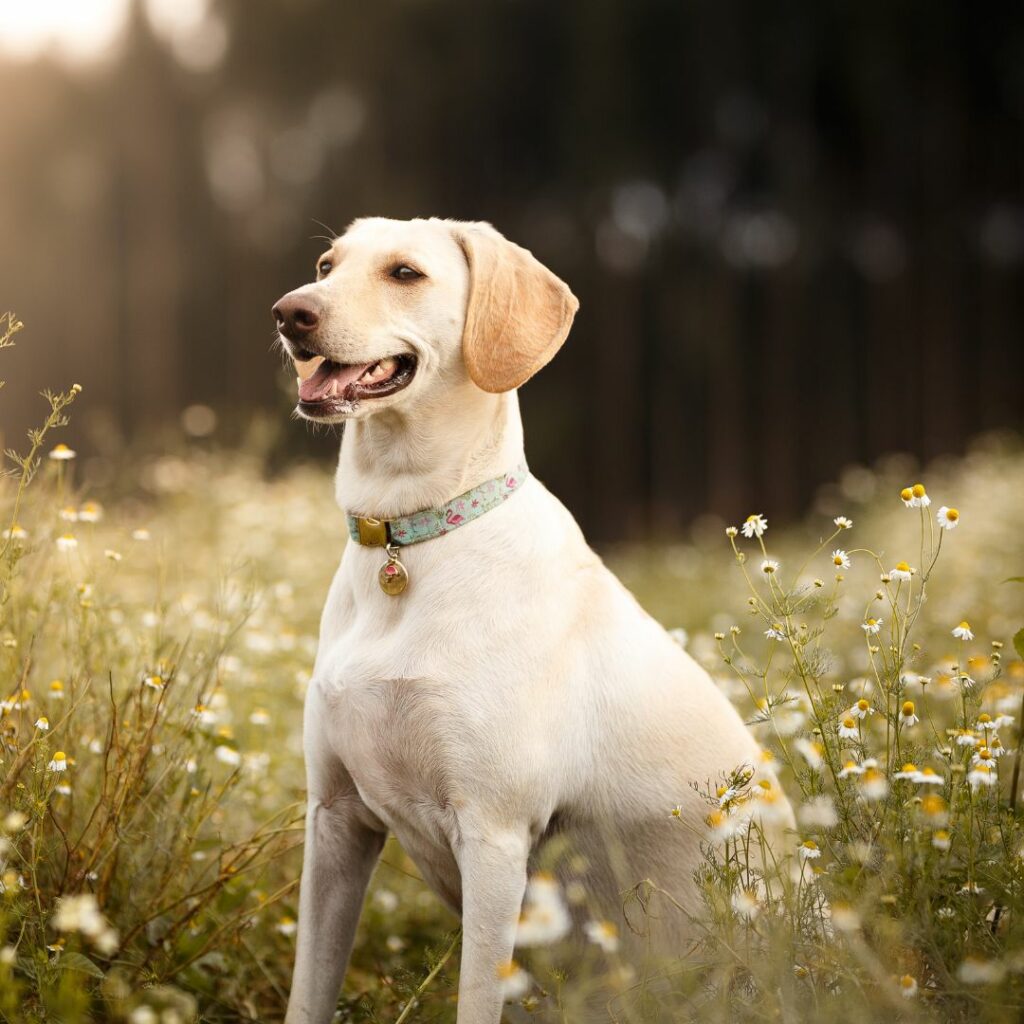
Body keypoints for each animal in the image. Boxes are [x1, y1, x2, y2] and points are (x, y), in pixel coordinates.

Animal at [272, 218, 790, 1024]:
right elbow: (309, 989)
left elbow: (478, 999)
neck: (409, 539)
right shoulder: (335, 820)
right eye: (327, 265)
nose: (289, 312)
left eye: (405, 273)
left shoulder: (493, 837)